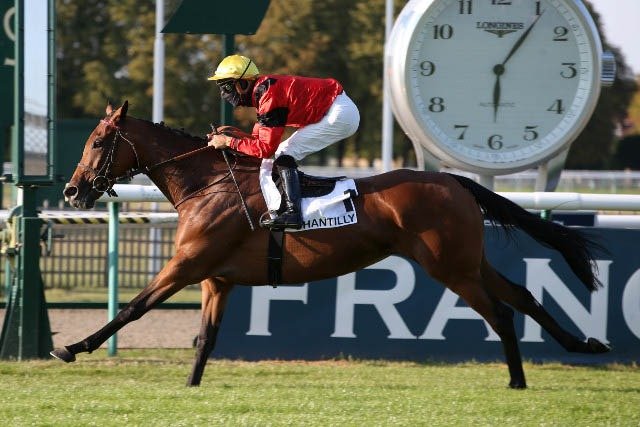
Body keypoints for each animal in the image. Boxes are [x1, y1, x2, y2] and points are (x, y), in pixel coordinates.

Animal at [52, 101, 610, 388]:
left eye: (98, 142)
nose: (72, 191)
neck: (206, 183)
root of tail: (453, 181)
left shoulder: (187, 266)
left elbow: (132, 309)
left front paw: (72, 347)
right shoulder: (216, 279)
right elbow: (205, 339)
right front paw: (191, 387)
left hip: (450, 267)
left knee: (501, 311)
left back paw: (518, 378)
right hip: (467, 260)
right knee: (523, 294)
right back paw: (581, 343)